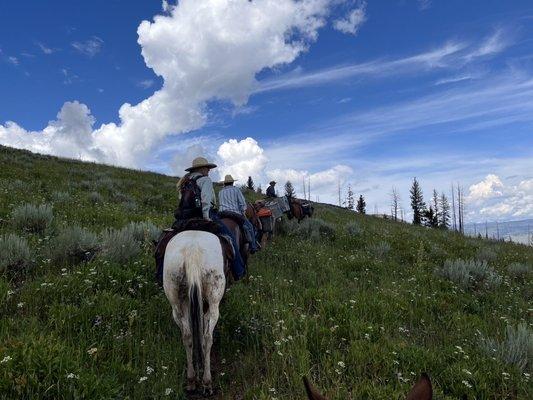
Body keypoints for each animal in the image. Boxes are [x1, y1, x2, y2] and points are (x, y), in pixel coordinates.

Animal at [164, 231, 227, 394]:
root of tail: (192, 251)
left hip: (176, 303)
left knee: (188, 336)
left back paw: (192, 379)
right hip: (214, 298)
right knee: (207, 337)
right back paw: (206, 381)